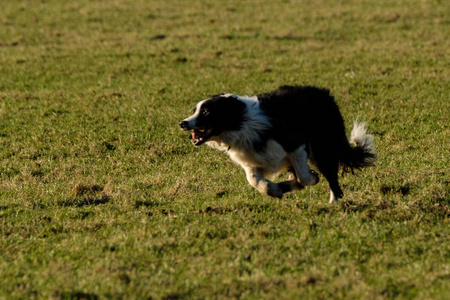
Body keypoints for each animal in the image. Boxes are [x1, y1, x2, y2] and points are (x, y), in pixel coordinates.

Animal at [179, 86, 376, 204]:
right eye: (195, 111)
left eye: (206, 112)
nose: (182, 123)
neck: (241, 122)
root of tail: (325, 94)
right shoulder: (251, 160)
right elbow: (254, 180)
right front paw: (275, 189)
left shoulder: (294, 145)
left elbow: (304, 177)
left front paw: (312, 178)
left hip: (323, 145)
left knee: (330, 175)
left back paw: (333, 202)